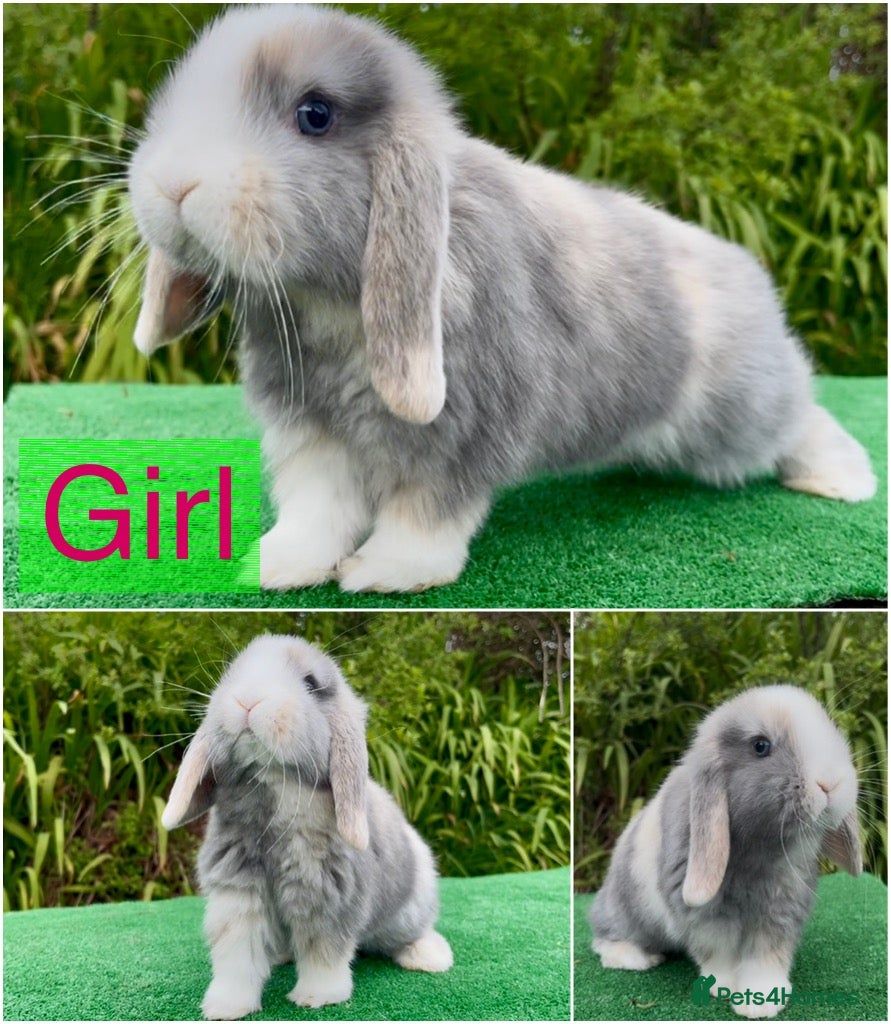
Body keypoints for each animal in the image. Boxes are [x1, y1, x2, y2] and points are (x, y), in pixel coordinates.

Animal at [127, 4, 876, 593]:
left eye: (315, 114)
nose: (174, 183)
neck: (331, 305)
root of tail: (751, 278)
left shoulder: (464, 432)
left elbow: (425, 513)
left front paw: (385, 572)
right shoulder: (311, 433)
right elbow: (316, 510)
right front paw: (275, 566)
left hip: (740, 414)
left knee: (802, 414)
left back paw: (844, 480)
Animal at [161, 633, 453, 1020]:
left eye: (311, 684)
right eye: (231, 675)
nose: (248, 699)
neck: (273, 785)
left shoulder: (327, 894)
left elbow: (322, 951)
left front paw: (317, 997)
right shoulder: (238, 894)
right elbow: (236, 956)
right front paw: (225, 1006)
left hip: (410, 910)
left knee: (413, 934)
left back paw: (430, 957)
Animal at [589, 685, 863, 1019]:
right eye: (760, 746)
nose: (831, 783)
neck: (761, 854)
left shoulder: (779, 913)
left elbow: (766, 957)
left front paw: (761, 1001)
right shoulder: (707, 918)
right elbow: (719, 954)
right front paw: (723, 987)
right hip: (621, 913)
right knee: (604, 938)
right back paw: (635, 958)